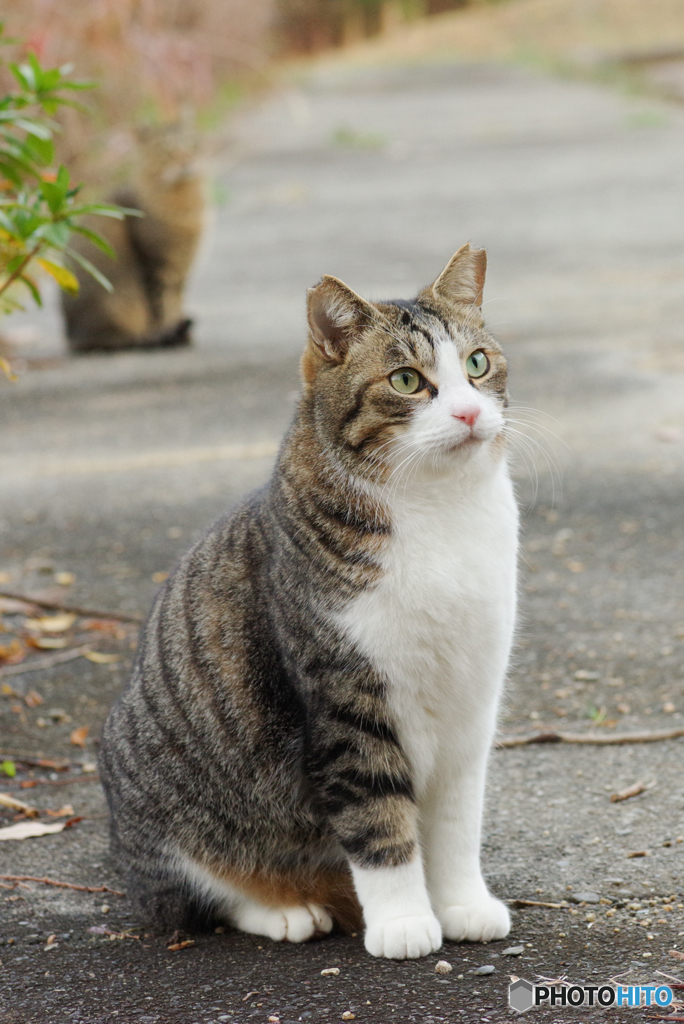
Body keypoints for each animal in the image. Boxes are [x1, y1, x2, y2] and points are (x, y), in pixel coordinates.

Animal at [98, 245, 518, 958]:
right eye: (407, 381)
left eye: (477, 364)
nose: (468, 414)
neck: (439, 508)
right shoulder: (346, 704)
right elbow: (379, 822)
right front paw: (404, 921)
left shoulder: (472, 701)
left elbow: (458, 822)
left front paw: (461, 903)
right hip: (167, 807)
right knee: (195, 897)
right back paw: (287, 910)